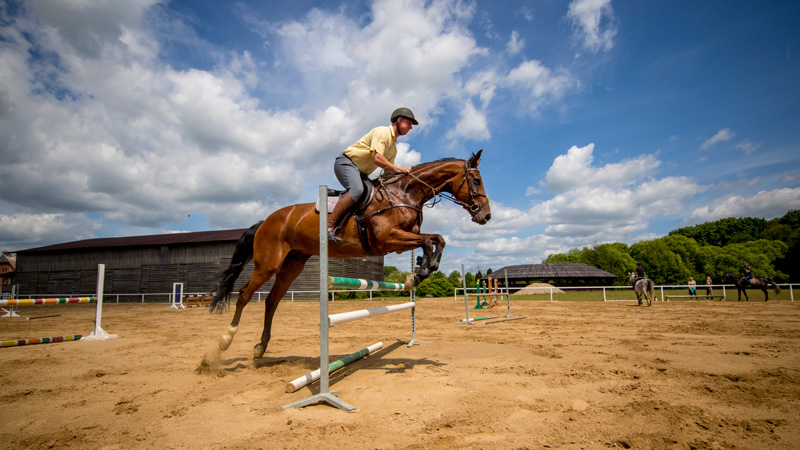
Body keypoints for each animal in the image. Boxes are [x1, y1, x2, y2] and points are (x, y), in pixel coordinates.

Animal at [209, 151, 490, 358]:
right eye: (476, 181)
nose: (486, 215)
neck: (404, 193)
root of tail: (265, 221)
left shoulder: (401, 242)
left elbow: (437, 239)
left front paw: (423, 270)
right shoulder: (389, 238)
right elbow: (429, 241)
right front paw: (420, 271)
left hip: (293, 264)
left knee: (271, 301)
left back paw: (261, 347)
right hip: (268, 264)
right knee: (244, 295)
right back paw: (224, 341)